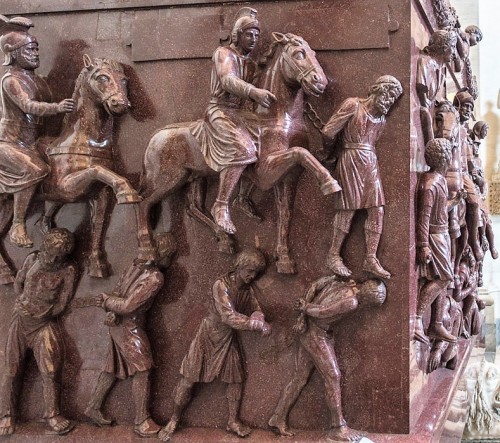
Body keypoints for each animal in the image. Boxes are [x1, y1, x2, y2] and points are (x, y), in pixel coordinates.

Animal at [0, 55, 140, 284]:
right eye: (102, 77)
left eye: (124, 79)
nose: (120, 104)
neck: (84, 139)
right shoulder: (68, 188)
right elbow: (97, 170)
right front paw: (127, 191)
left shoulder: (100, 195)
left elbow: (98, 225)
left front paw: (97, 266)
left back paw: (6, 272)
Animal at [137, 32, 340, 274]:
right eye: (299, 54)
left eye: (314, 53)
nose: (321, 82)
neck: (277, 118)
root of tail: (155, 137)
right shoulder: (266, 172)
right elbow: (300, 152)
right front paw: (329, 182)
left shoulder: (289, 178)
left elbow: (286, 214)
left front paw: (284, 259)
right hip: (169, 180)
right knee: (144, 204)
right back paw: (148, 251)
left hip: (195, 176)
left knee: (193, 207)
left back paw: (224, 238)